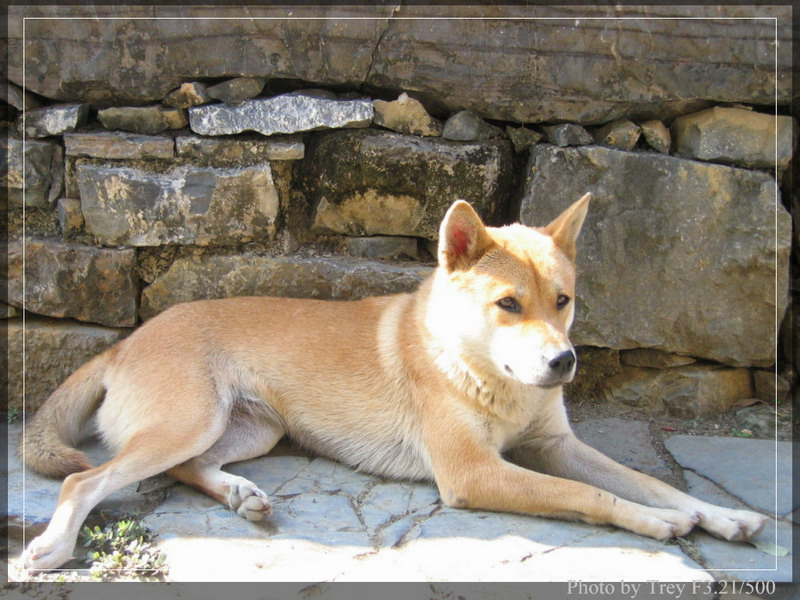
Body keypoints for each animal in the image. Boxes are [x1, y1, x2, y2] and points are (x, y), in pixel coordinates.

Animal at [20, 193, 767, 571]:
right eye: (508, 304)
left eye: (563, 301)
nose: (563, 364)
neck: (481, 370)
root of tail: (127, 340)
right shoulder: (474, 473)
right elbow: (592, 496)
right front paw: (659, 522)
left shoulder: (556, 445)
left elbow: (646, 479)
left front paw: (719, 514)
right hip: (188, 421)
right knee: (86, 480)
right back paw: (53, 546)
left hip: (251, 431)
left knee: (185, 470)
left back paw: (242, 496)